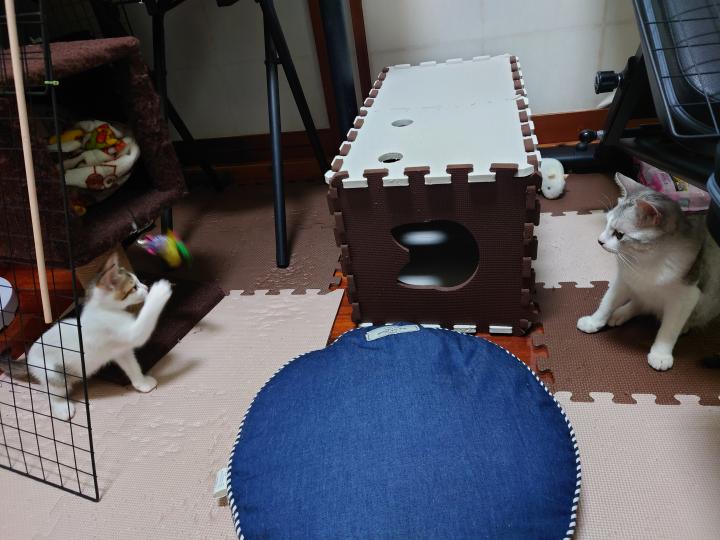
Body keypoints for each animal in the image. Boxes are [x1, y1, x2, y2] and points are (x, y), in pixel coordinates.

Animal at [0, 252, 172, 420]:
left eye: (138, 283)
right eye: (134, 287)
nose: (146, 287)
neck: (104, 310)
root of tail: (28, 359)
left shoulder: (121, 351)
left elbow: (132, 367)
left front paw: (142, 383)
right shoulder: (127, 333)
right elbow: (144, 323)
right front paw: (160, 292)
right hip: (55, 374)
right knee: (51, 394)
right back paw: (62, 409)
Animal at [577, 172, 720, 371]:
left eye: (619, 235)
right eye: (606, 224)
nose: (600, 241)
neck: (646, 260)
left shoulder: (686, 296)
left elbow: (669, 329)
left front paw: (661, 354)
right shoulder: (624, 279)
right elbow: (607, 301)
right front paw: (594, 321)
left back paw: (685, 326)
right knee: (641, 303)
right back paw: (620, 313)